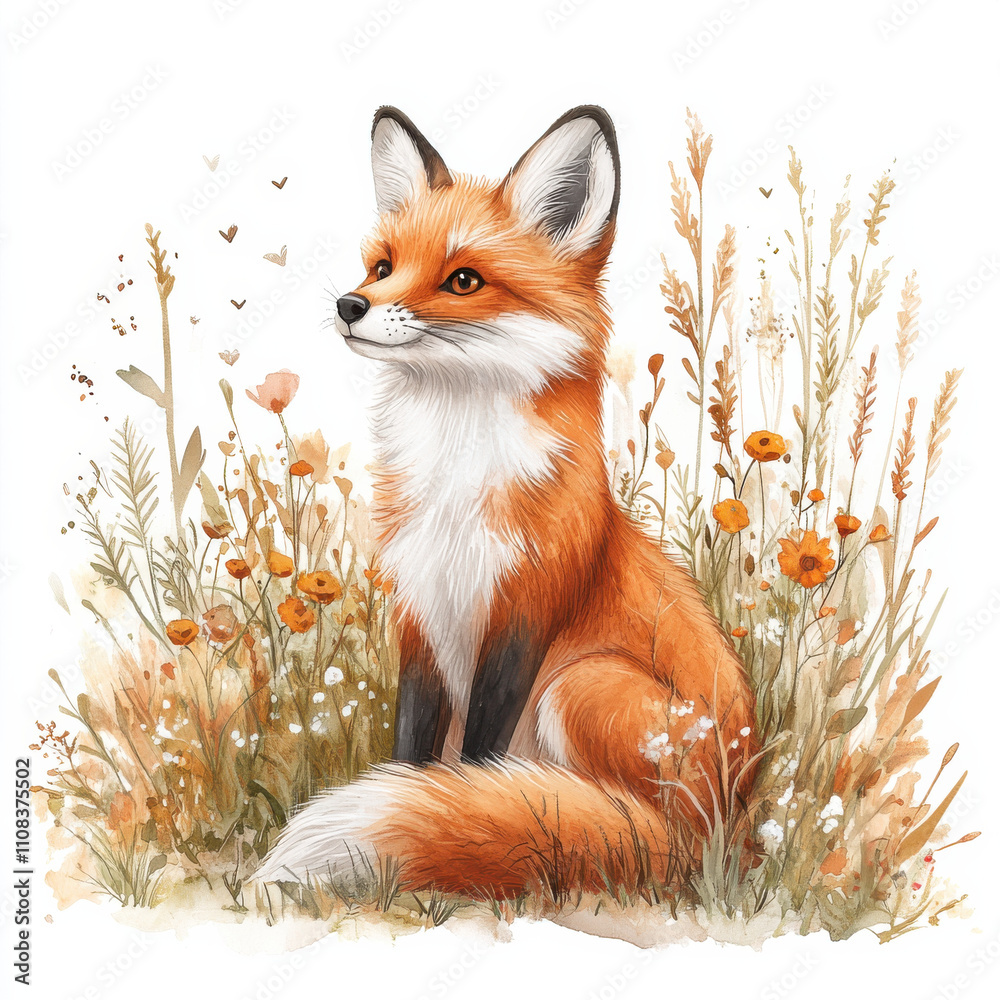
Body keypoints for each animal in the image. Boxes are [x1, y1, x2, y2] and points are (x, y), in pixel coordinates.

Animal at [256, 105, 758, 899]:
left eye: (463, 279)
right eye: (383, 266)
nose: (350, 304)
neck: (455, 490)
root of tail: (712, 841)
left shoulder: (523, 610)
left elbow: (479, 758)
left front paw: (456, 816)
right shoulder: (420, 613)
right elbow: (415, 747)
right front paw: (423, 812)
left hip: (583, 683)